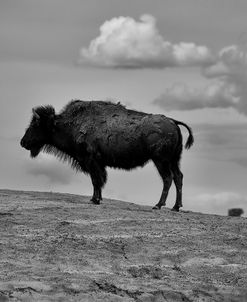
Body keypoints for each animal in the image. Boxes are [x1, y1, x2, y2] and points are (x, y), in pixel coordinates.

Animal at [20, 100, 194, 211]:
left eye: (35, 125)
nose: (23, 142)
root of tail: (173, 122)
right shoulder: (98, 164)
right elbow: (98, 181)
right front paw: (96, 199)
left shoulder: (91, 161)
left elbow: (96, 181)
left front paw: (95, 200)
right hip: (174, 160)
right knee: (178, 177)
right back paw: (176, 207)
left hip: (160, 160)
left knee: (168, 178)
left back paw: (158, 205)